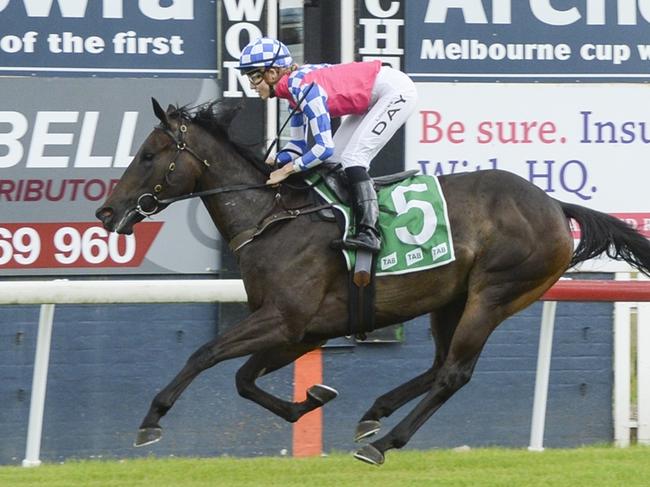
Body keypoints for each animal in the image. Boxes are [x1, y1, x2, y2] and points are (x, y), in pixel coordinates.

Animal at [93, 98, 648, 466]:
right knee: (439, 366)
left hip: (493, 295)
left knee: (454, 374)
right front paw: (312, 400)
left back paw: (382, 445)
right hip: (450, 300)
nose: (108, 212)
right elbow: (244, 379)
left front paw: (151, 421)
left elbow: (205, 355)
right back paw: (373, 416)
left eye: (148, 155)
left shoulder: (284, 319)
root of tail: (555, 204)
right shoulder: (303, 330)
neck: (275, 217)